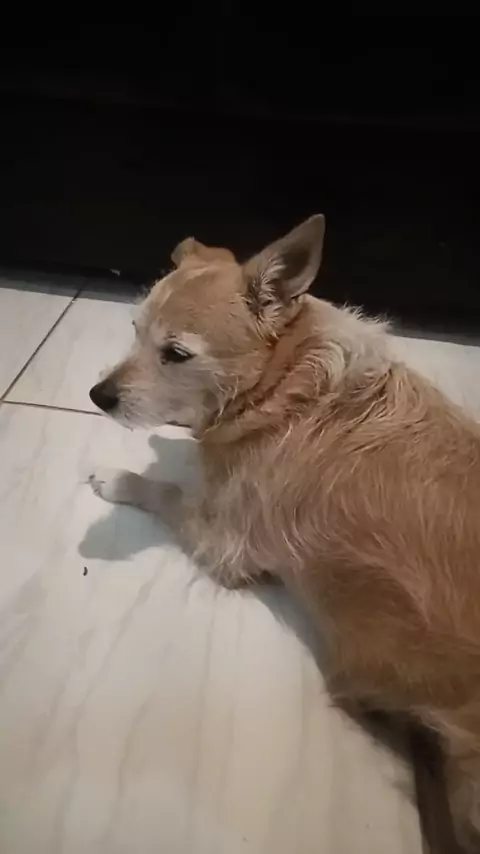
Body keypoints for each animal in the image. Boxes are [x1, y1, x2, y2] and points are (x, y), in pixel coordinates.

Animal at [89, 215, 480, 851]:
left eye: (176, 353)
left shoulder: (225, 541)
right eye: (134, 330)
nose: (97, 396)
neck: (287, 385)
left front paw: (119, 477)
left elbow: (166, 491)